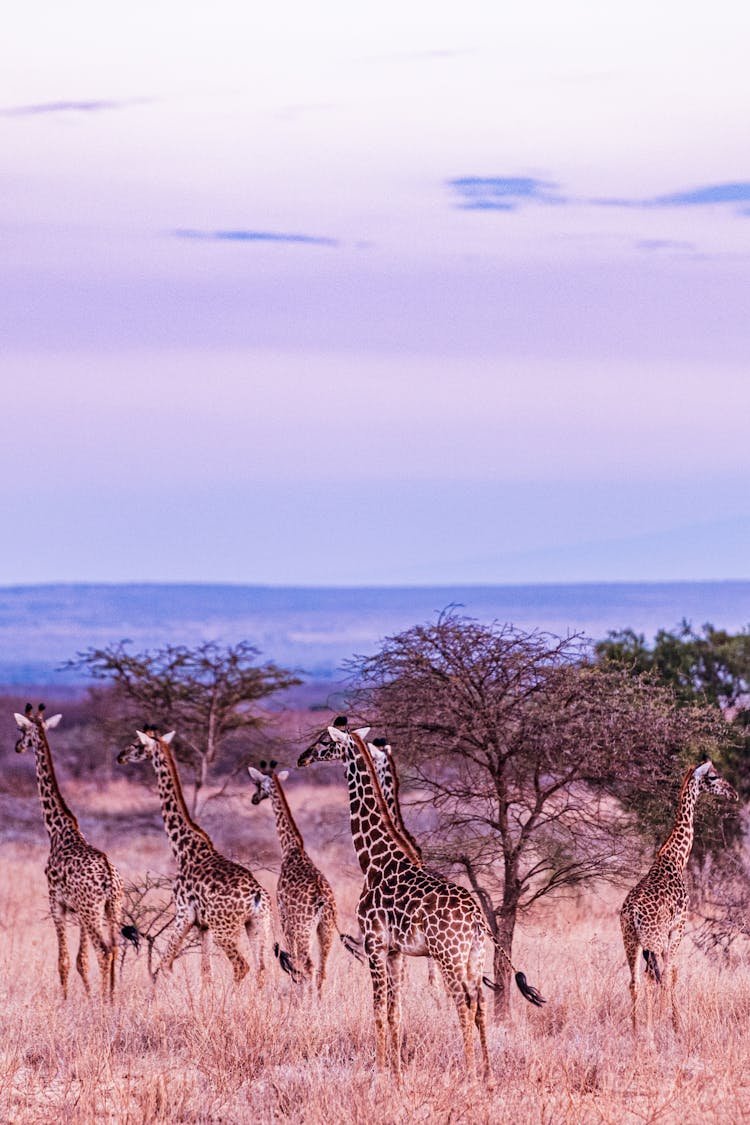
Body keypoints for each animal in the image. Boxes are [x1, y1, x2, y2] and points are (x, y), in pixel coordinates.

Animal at [14, 702, 134, 1003]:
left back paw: (104, 1002)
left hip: (92, 909)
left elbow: (64, 961)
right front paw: (88, 997)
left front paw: (67, 1001)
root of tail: (109, 878)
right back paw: (112, 998)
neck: (58, 830)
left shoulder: (56, 903)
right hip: (112, 907)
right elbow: (81, 960)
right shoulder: (77, 910)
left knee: (104, 949)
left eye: (21, 730)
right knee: (115, 947)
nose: (17, 747)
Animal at [117, 729, 292, 985]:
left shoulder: (183, 914)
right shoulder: (203, 925)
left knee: (242, 966)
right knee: (261, 969)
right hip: (259, 926)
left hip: (225, 929)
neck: (183, 848)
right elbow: (206, 971)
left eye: (136, 744)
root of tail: (257, 896)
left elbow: (165, 965)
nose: (120, 756)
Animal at [247, 765, 362, 994]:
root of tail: (323, 901)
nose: (254, 799)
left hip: (304, 928)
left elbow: (293, 960)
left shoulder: (284, 916)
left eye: (257, 784)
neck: (291, 849)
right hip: (326, 928)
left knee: (308, 965)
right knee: (322, 969)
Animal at [294, 724, 546, 1084]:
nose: (302, 757)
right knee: (481, 1003)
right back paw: (488, 1075)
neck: (375, 861)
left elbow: (378, 1011)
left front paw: (380, 1072)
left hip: (447, 955)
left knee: (463, 1002)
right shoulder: (395, 951)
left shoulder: (373, 943)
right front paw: (397, 1074)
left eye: (325, 741)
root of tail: (476, 917)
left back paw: (470, 1074)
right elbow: (395, 1011)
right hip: (473, 954)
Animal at [620, 756, 737, 1035]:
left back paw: (636, 1029)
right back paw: (650, 1030)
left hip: (631, 940)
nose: (734, 793)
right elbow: (671, 974)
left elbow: (667, 975)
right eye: (713, 777)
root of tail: (632, 913)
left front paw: (668, 1020)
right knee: (653, 978)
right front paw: (673, 1023)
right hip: (653, 939)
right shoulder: (679, 926)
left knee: (635, 981)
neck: (675, 858)